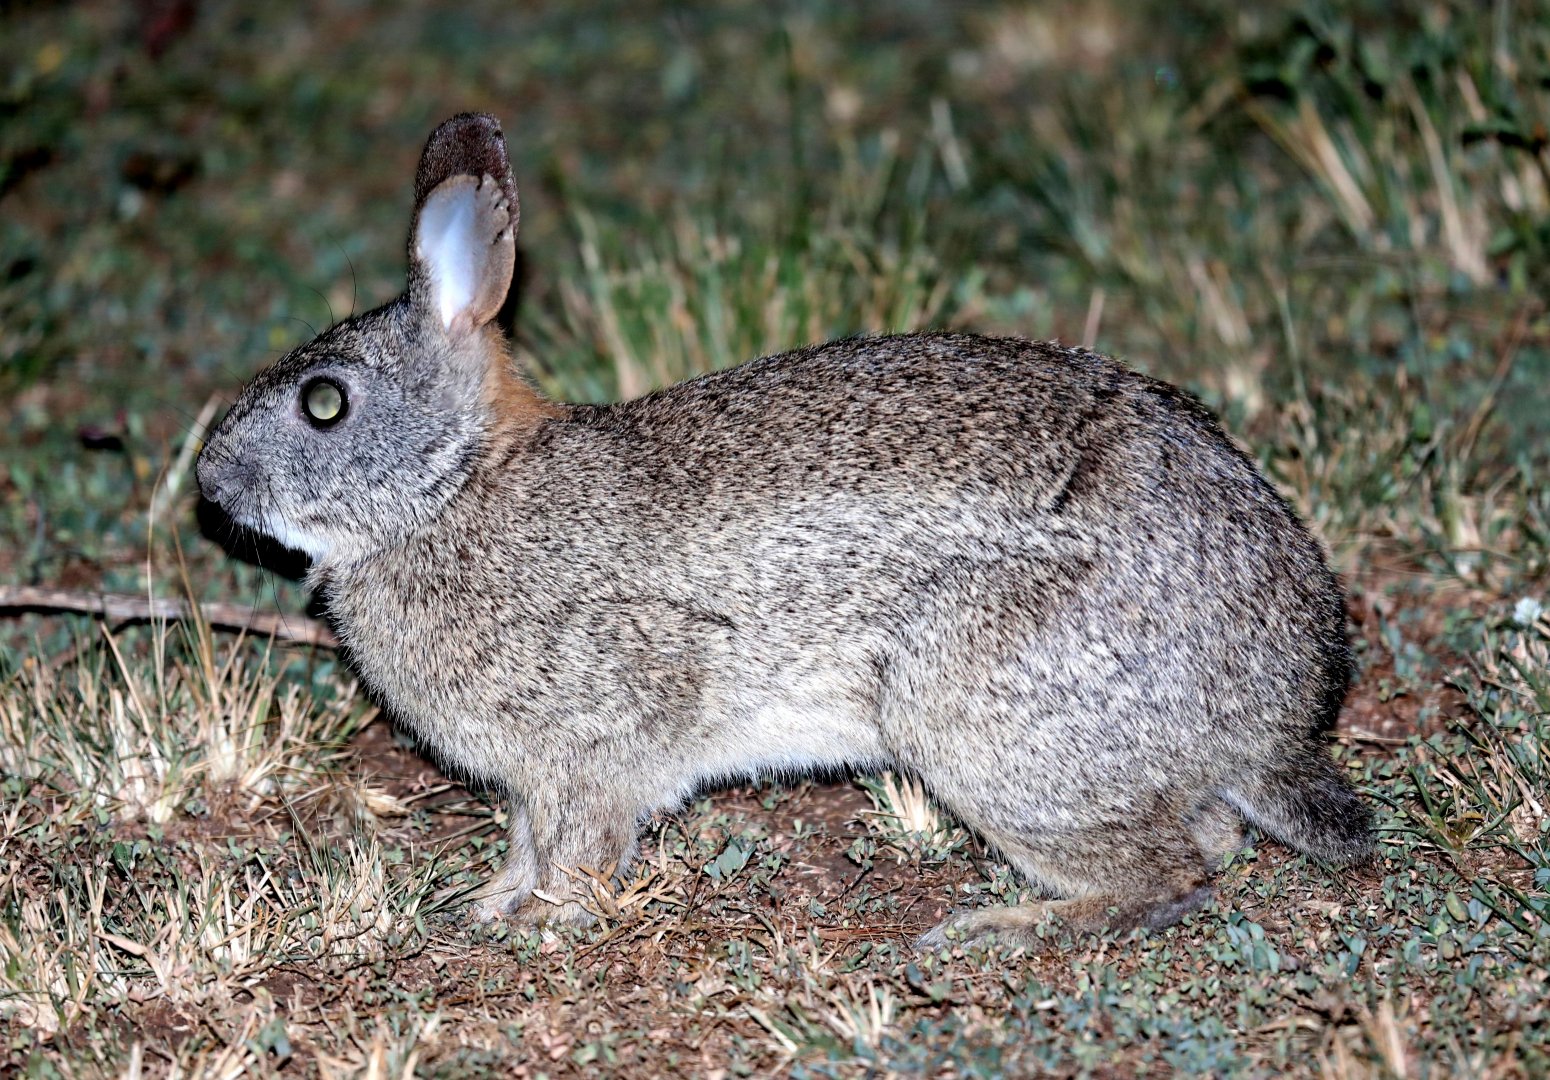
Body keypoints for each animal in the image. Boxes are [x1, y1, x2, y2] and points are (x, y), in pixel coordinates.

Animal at [196, 112, 1372, 951]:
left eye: (324, 403)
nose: (209, 481)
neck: (453, 489)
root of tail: (1270, 718)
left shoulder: (599, 743)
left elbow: (581, 846)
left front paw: (544, 920)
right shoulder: (536, 777)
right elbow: (528, 842)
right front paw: (491, 904)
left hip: (976, 713)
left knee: (1168, 871)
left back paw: (994, 931)